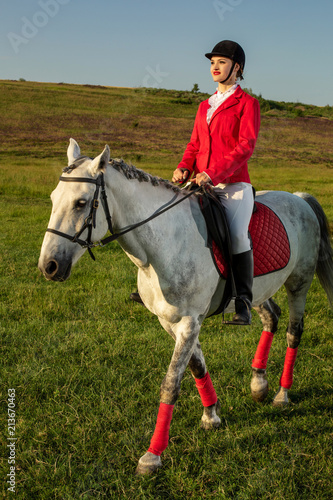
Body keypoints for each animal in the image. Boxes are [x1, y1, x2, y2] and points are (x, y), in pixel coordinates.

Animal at [38, 139, 332, 474]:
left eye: (81, 203)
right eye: (53, 199)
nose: (49, 266)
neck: (161, 245)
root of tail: (298, 198)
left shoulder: (190, 322)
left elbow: (171, 383)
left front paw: (152, 456)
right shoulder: (170, 322)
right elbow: (195, 366)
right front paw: (212, 415)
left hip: (299, 283)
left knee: (294, 331)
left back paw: (282, 394)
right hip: (257, 290)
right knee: (271, 317)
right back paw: (259, 384)